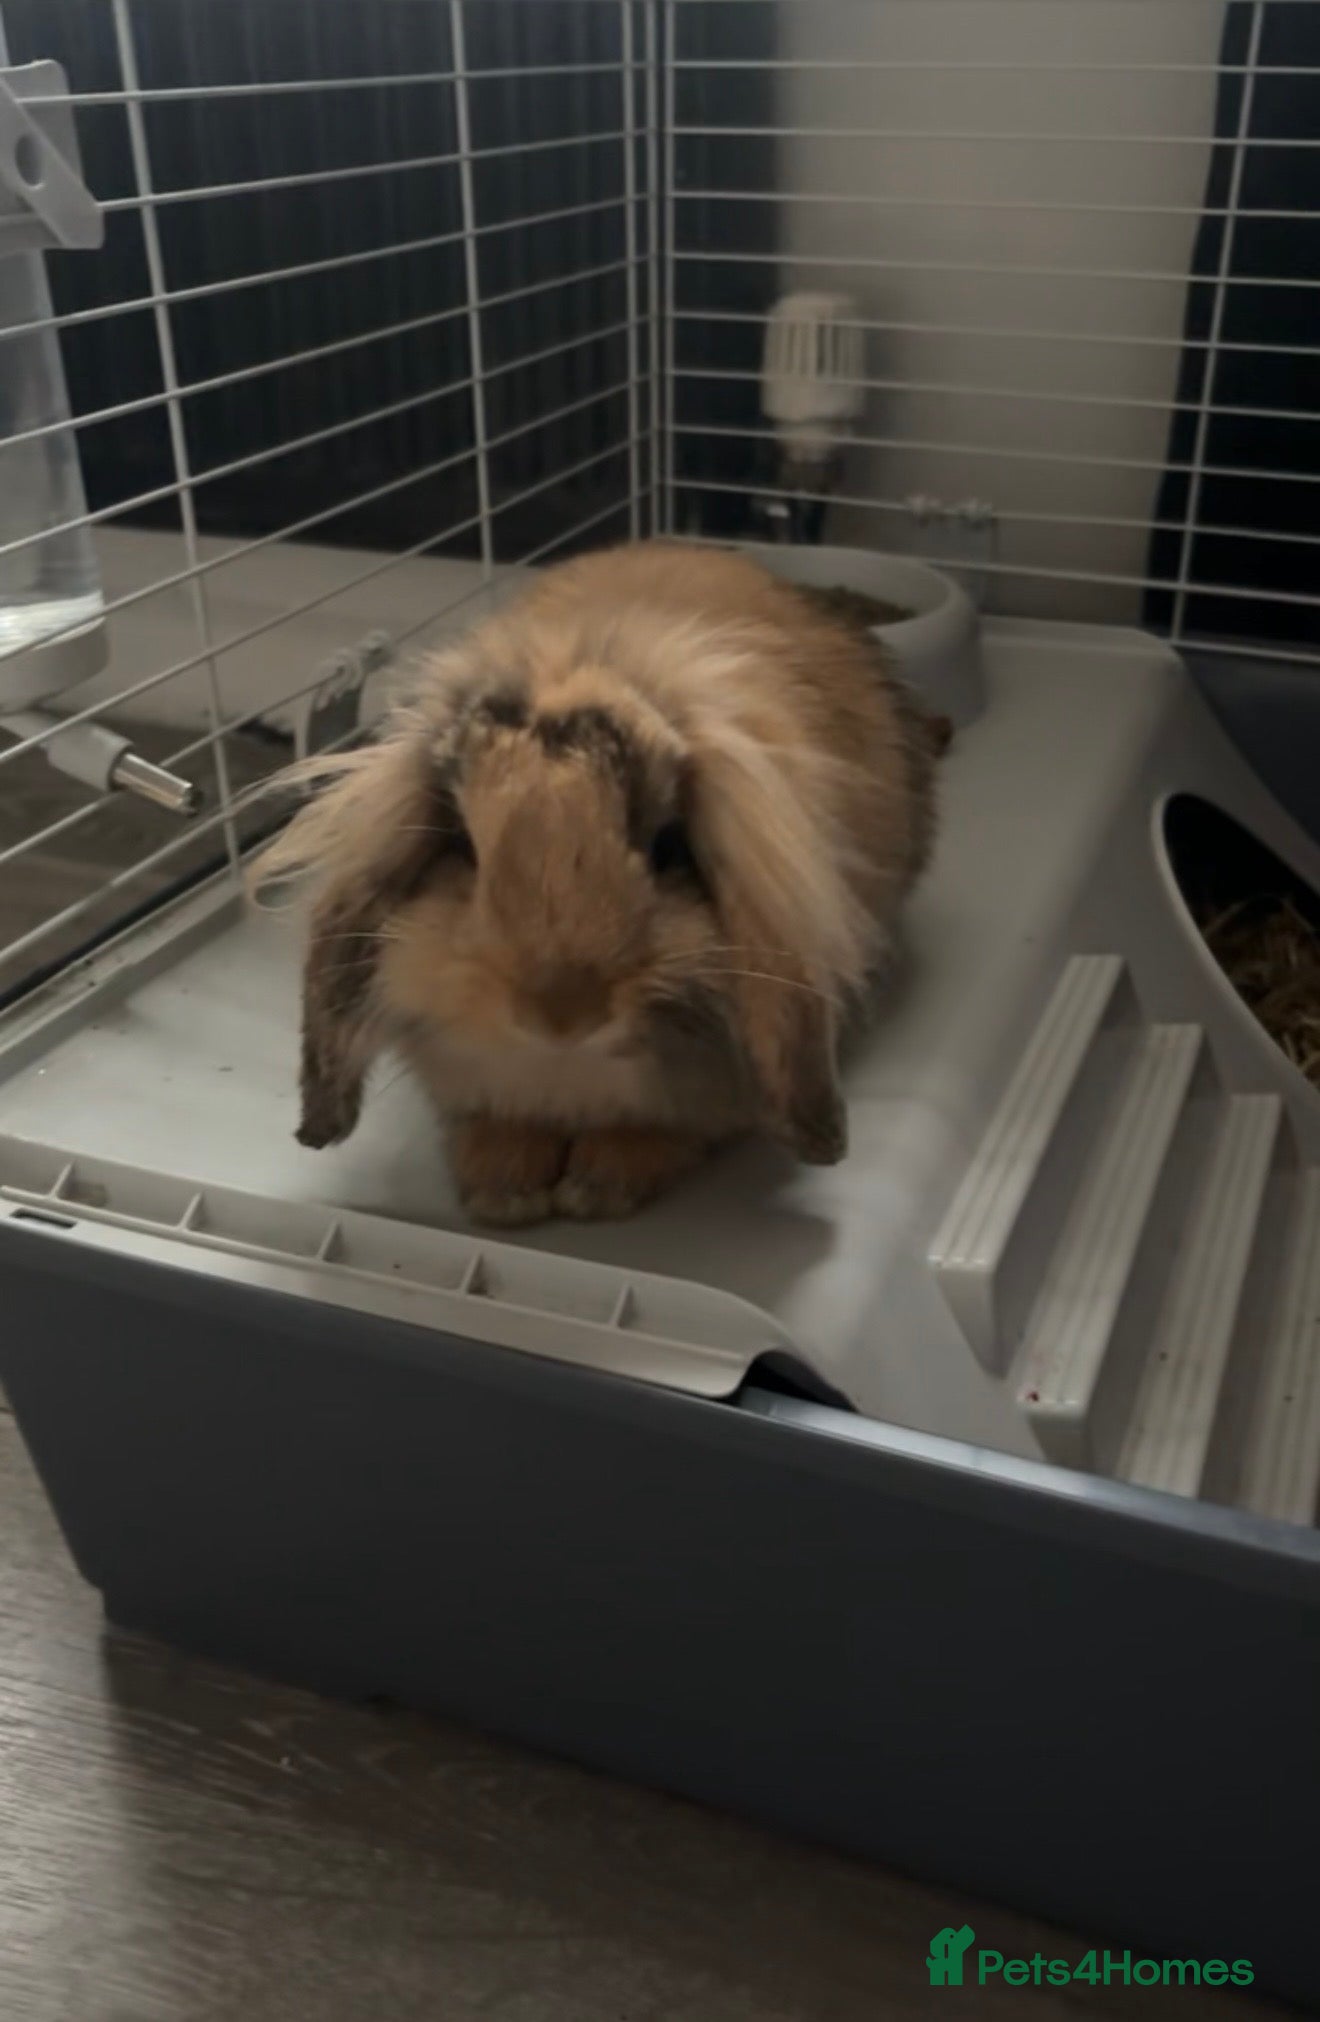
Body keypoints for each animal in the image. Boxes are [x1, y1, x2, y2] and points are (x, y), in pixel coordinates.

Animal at [253, 541, 945, 1226]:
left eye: (666, 847)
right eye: (463, 847)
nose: (561, 1013)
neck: (565, 1074)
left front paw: (597, 1187)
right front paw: (505, 1191)